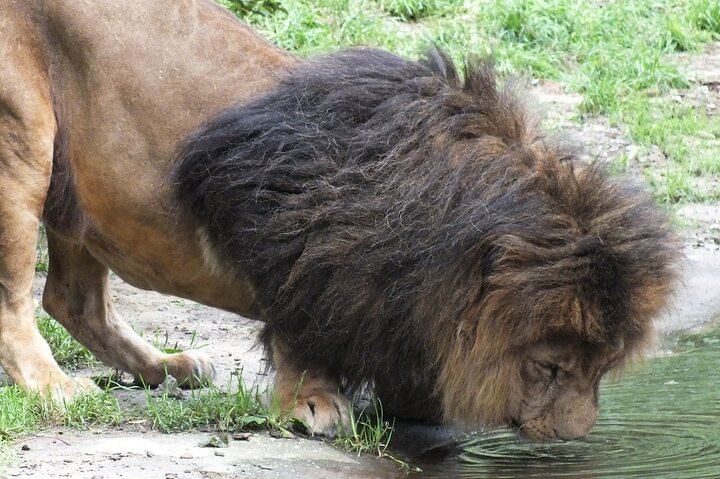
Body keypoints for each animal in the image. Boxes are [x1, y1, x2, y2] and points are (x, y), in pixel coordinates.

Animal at [1, 0, 678, 440]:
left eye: (601, 370)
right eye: (550, 367)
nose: (573, 440)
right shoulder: (283, 221)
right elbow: (301, 325)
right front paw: (314, 402)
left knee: (73, 300)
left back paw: (165, 367)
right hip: (25, 144)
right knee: (19, 302)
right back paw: (54, 387)